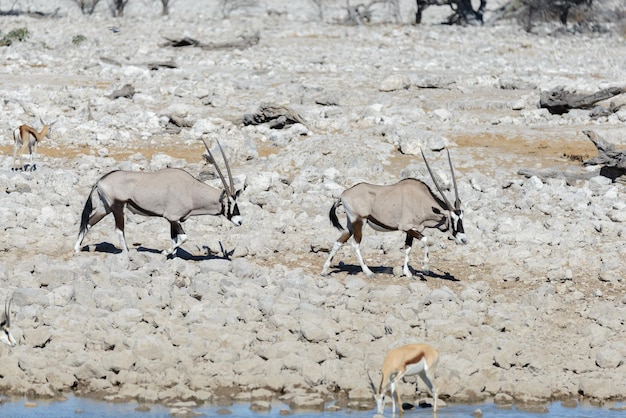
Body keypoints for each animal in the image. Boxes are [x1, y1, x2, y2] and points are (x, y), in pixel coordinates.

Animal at [72, 140, 240, 255]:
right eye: (229, 202)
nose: (239, 221)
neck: (191, 190)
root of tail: (100, 180)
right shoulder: (172, 217)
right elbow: (183, 237)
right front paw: (165, 252)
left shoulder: (174, 220)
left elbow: (175, 239)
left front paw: (172, 256)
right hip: (118, 207)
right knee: (119, 230)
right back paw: (127, 253)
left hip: (105, 208)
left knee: (88, 223)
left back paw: (76, 249)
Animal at [322, 149, 464, 280]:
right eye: (452, 219)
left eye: (462, 217)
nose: (464, 239)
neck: (420, 200)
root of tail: (343, 194)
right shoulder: (406, 227)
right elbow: (426, 240)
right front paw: (425, 268)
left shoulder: (412, 229)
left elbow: (408, 248)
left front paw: (407, 273)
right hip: (359, 222)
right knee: (355, 245)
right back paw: (368, 272)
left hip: (350, 224)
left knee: (339, 242)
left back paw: (324, 270)